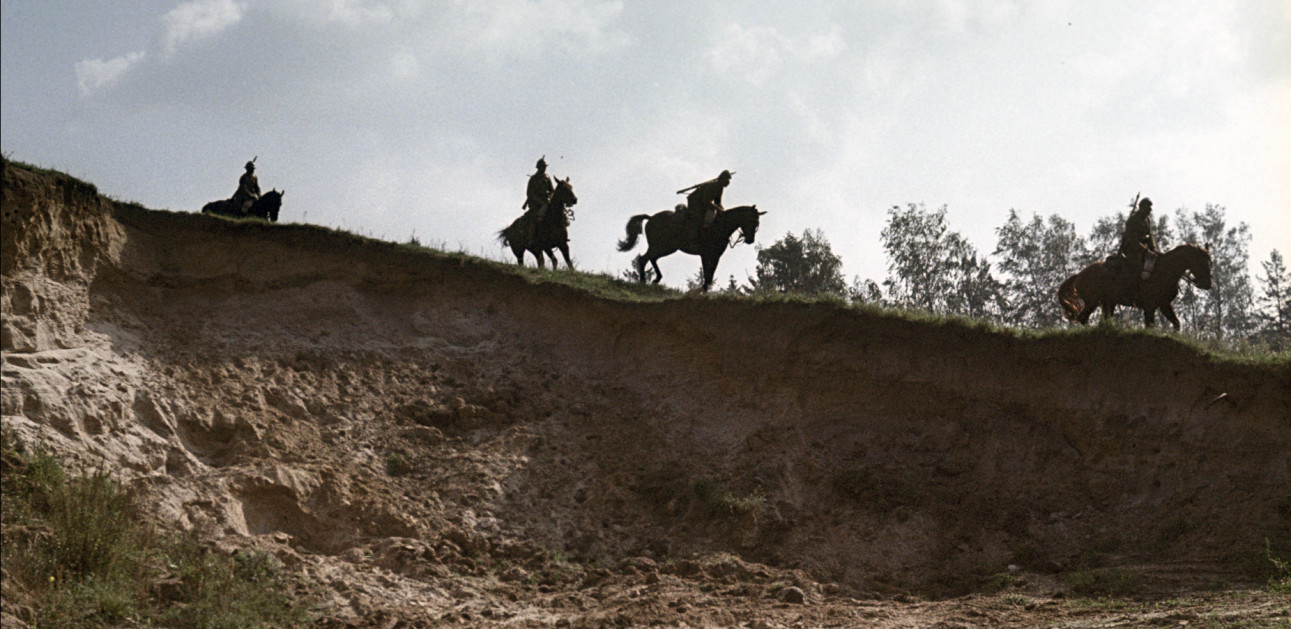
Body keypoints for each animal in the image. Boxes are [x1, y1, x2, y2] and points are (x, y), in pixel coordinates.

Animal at [617, 204, 765, 292]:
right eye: (751, 221)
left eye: (757, 223)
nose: (750, 240)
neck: (719, 226)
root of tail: (651, 218)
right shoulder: (706, 255)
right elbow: (707, 274)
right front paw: (702, 290)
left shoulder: (715, 256)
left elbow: (710, 274)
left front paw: (704, 290)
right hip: (661, 246)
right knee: (643, 259)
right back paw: (643, 281)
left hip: (667, 248)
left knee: (651, 258)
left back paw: (656, 279)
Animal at [1057, 243, 1213, 330]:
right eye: (1202, 262)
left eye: (1209, 262)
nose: (1207, 284)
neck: (1164, 270)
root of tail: (1079, 274)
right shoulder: (1150, 306)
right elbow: (1149, 326)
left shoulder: (1164, 304)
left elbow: (1176, 323)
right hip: (1093, 302)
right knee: (1083, 318)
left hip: (1108, 304)